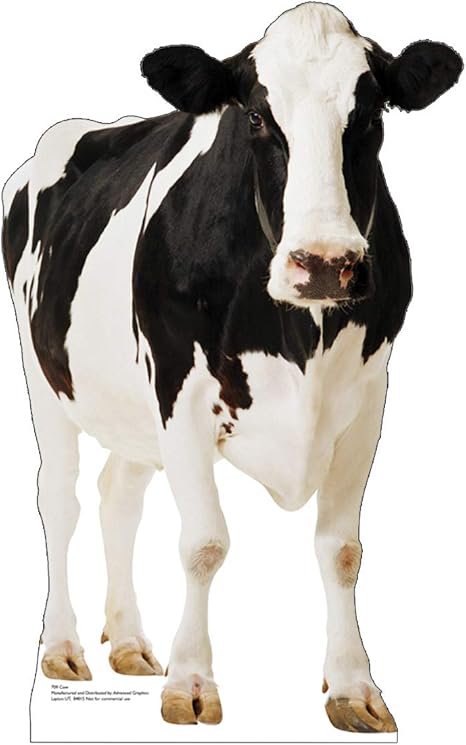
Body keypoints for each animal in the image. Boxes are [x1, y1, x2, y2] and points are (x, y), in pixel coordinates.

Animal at [2, 0, 462, 734]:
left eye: (370, 117)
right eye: (254, 117)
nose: (325, 262)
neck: (298, 332)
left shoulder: (367, 399)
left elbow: (342, 549)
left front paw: (353, 687)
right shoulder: (179, 391)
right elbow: (204, 543)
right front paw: (191, 682)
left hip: (131, 406)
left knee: (118, 495)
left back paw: (127, 641)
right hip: (43, 372)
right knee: (59, 499)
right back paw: (62, 646)